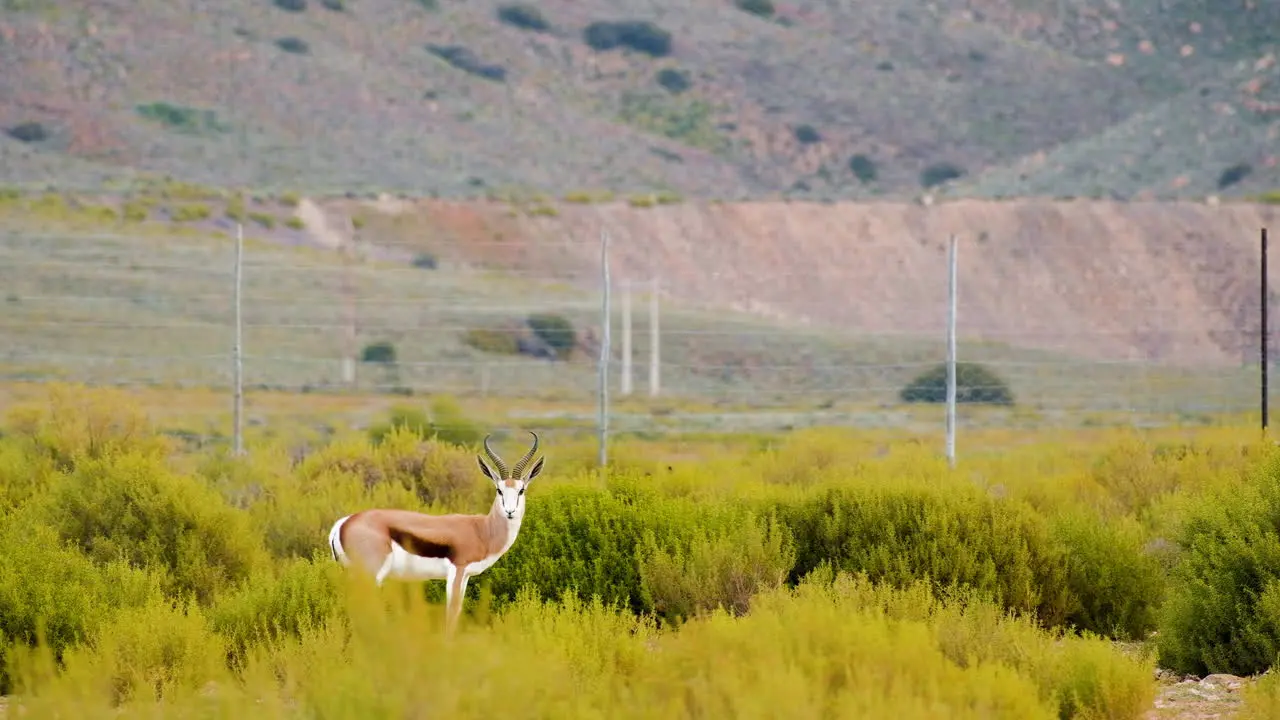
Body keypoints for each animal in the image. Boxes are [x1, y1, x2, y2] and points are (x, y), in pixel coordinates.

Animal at [325, 427, 545, 630]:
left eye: (521, 490)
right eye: (499, 490)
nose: (510, 511)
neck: (482, 530)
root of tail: (344, 522)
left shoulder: (465, 576)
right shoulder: (457, 570)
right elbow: (452, 613)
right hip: (371, 575)